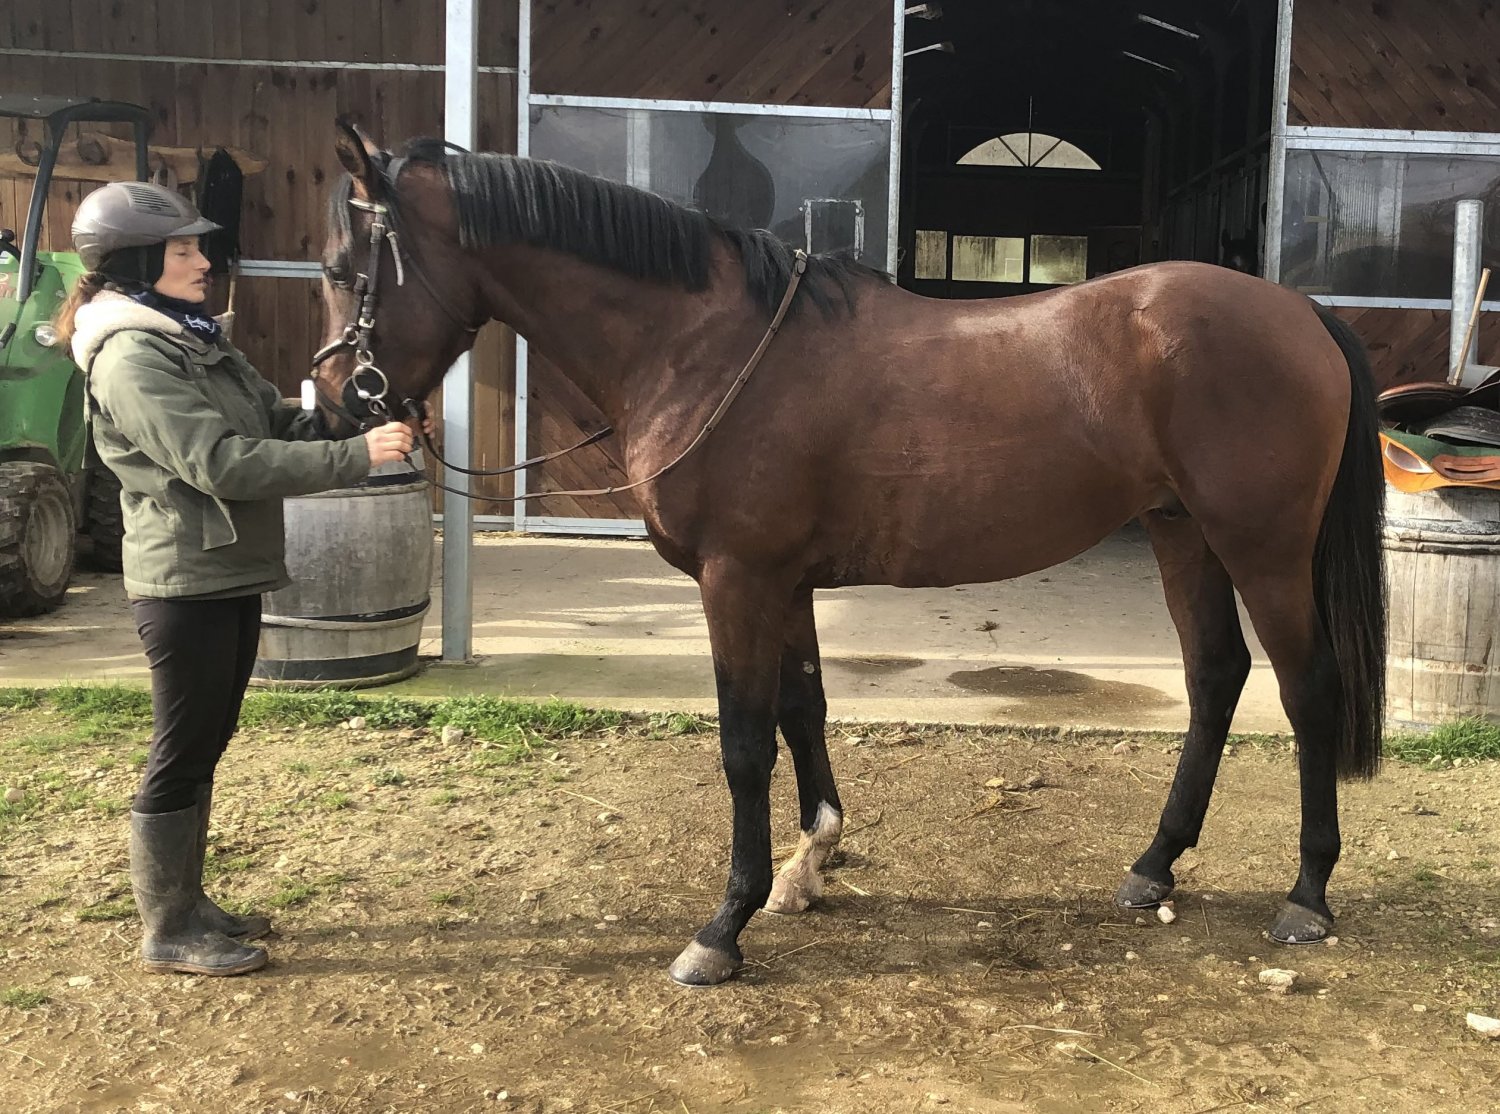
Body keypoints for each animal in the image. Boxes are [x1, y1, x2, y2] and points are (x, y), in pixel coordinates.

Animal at [314, 123, 1385, 987]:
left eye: (336, 267)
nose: (329, 410)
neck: (705, 343)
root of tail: (1300, 310)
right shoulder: (783, 584)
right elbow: (805, 709)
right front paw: (810, 864)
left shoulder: (736, 580)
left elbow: (744, 743)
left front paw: (723, 928)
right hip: (1182, 533)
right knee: (1216, 677)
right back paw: (1153, 866)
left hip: (1261, 547)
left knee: (1307, 689)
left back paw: (1307, 896)